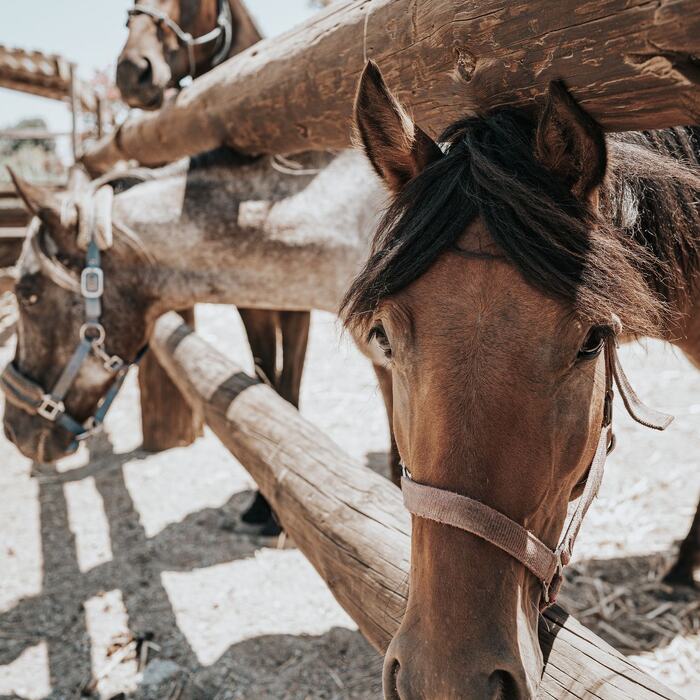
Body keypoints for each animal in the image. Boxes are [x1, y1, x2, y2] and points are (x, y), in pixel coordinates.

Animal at [116, 0, 311, 532]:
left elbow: (288, 383)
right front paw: (264, 506)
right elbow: (265, 382)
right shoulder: (251, 302)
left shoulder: (298, 301)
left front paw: (280, 519)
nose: (131, 71)